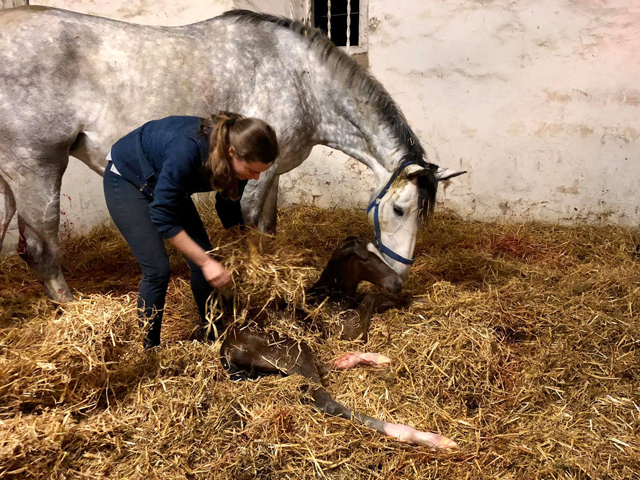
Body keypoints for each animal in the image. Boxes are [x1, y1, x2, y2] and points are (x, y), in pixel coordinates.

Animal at [0, 6, 460, 300]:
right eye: (399, 209)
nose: (399, 275)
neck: (302, 78)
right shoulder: (257, 176)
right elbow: (251, 228)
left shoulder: (274, 174)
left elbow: (267, 229)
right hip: (37, 167)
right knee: (41, 249)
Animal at [219, 238, 456, 452]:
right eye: (364, 258)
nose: (397, 283)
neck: (332, 295)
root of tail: (227, 350)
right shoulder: (349, 331)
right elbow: (374, 296)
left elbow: (377, 298)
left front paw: (421, 300)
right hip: (292, 348)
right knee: (325, 400)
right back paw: (427, 438)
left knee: (321, 368)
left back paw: (366, 359)